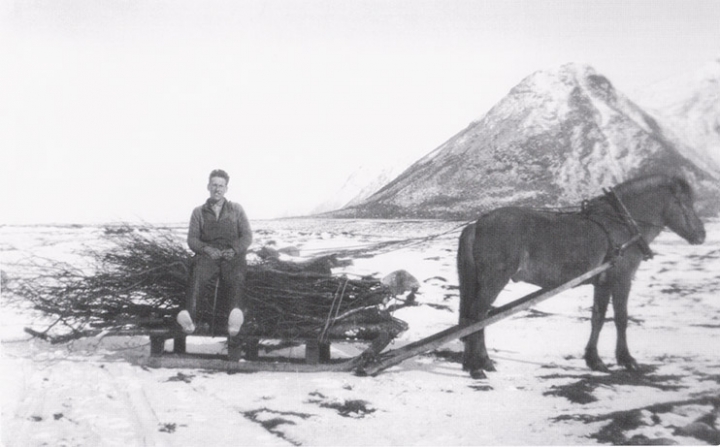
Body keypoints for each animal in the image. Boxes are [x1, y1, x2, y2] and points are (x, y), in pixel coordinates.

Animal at [458, 175, 704, 378]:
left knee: (476, 318)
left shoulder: (602, 283)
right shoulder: (622, 280)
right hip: (493, 281)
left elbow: (598, 317)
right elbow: (621, 318)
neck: (622, 225)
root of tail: (477, 224)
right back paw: (477, 366)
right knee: (477, 316)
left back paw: (482, 362)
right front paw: (627, 359)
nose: (702, 234)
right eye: (685, 203)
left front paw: (594, 360)